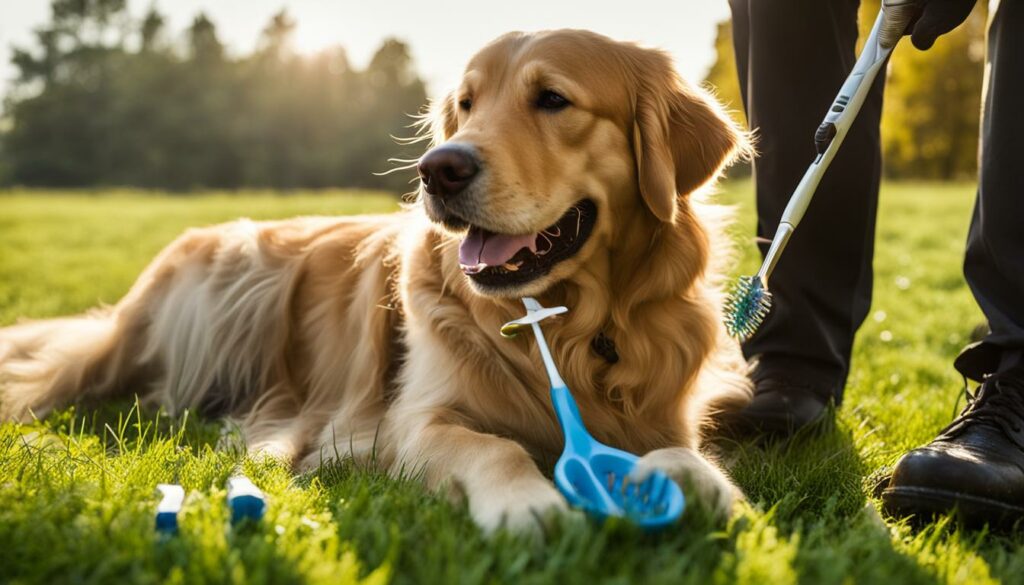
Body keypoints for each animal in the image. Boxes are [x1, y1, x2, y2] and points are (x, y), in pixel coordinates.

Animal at [0, 29, 753, 532]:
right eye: (466, 104)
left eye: (553, 99)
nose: (438, 168)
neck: (571, 326)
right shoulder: (411, 423)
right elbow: (496, 444)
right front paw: (527, 502)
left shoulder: (661, 409)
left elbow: (682, 456)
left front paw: (698, 483)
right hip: (205, 303)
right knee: (51, 380)